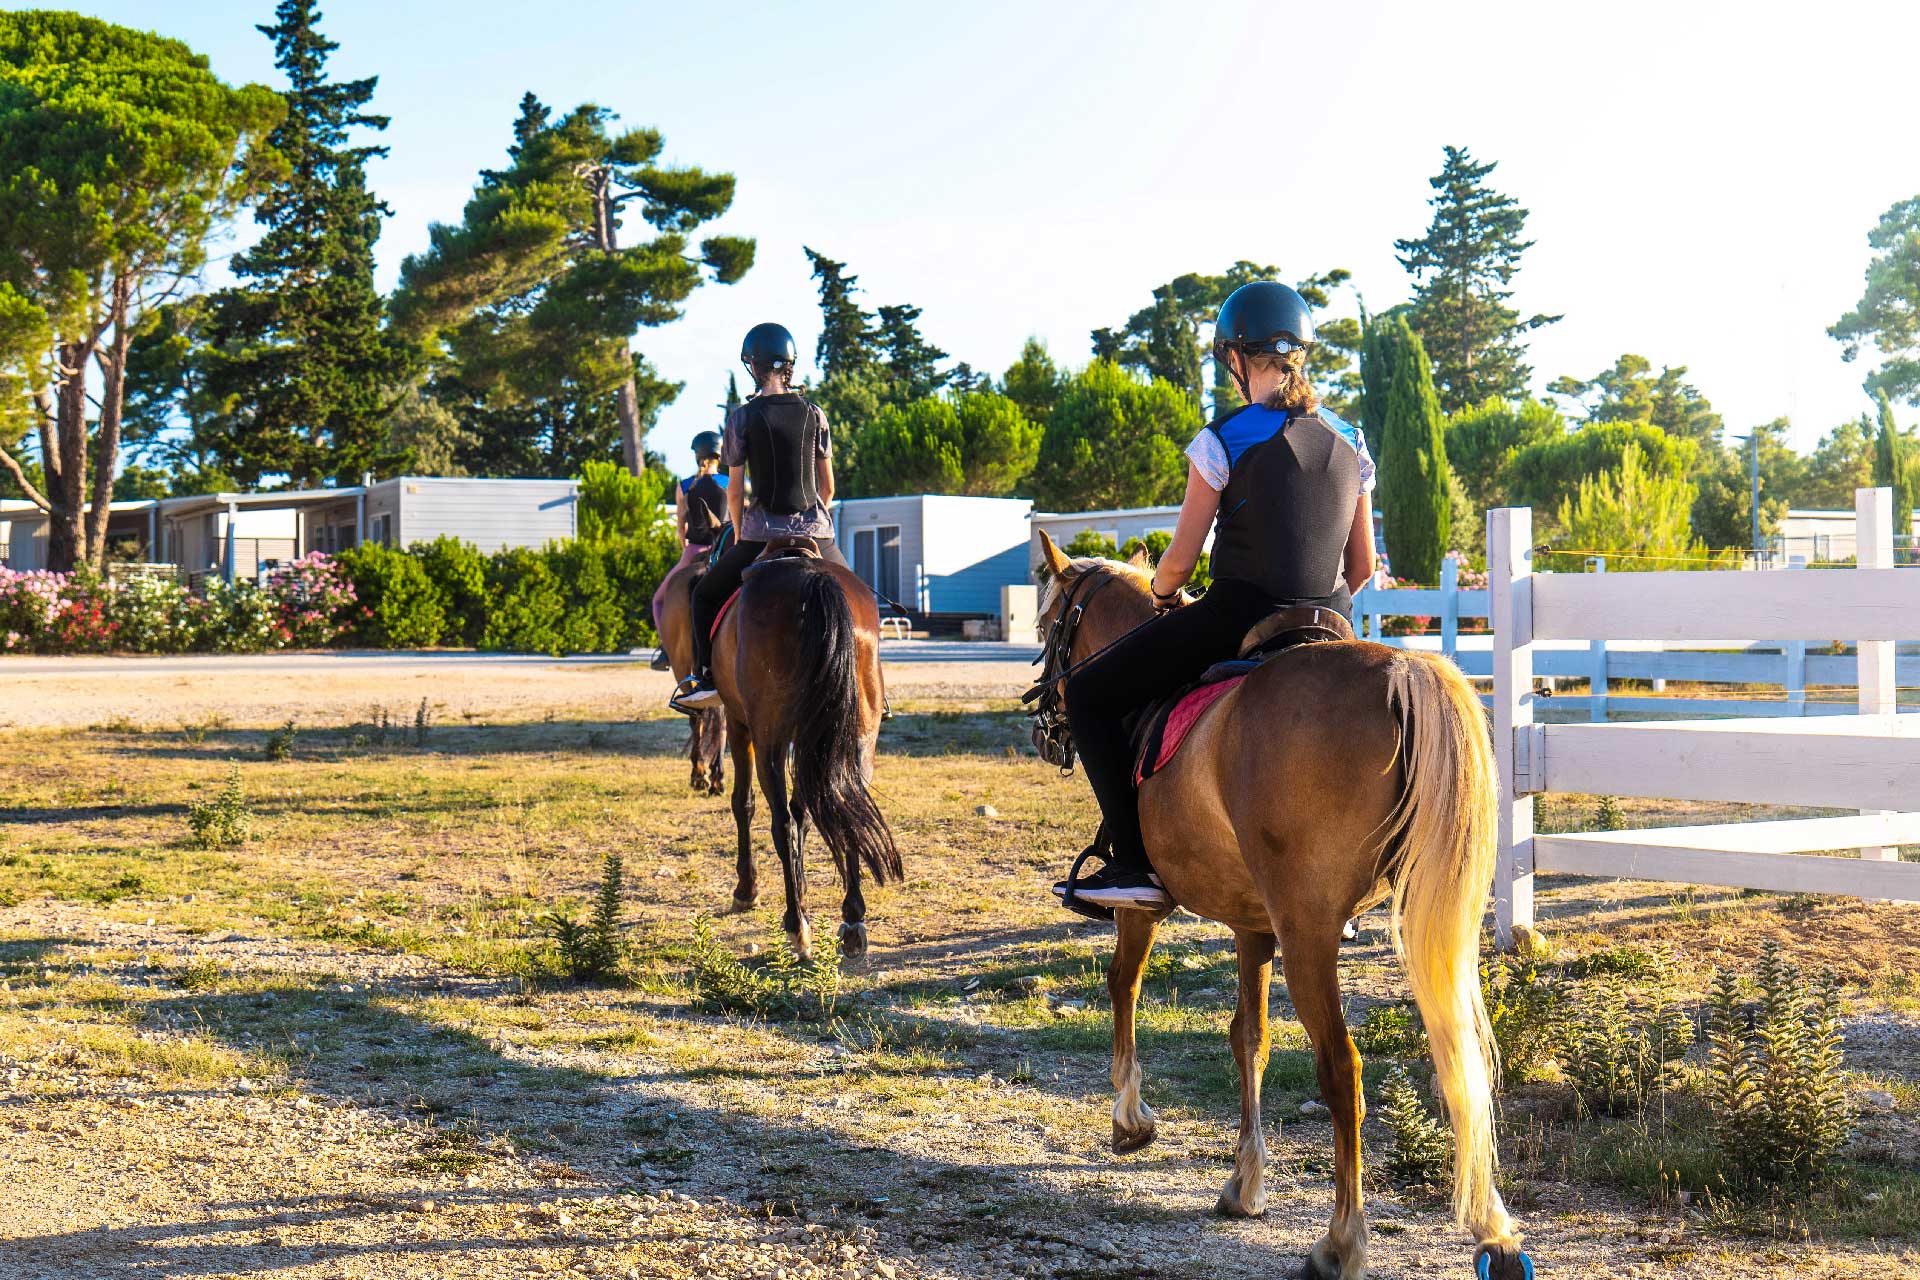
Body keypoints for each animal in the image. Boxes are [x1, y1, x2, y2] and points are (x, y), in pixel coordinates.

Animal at [710, 544, 901, 959]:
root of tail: (813, 579)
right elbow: (807, 813)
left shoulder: (739, 723)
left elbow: (745, 803)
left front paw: (747, 890)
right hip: (858, 736)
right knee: (846, 808)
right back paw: (852, 921)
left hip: (768, 736)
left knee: (780, 821)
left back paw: (797, 926)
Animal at [1032, 530, 1529, 1280]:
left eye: (1047, 626)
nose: (1044, 720)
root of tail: (1400, 670)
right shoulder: (1251, 924)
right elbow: (1250, 1038)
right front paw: (1244, 1182)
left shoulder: (1144, 906)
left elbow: (1124, 985)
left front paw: (1131, 1118)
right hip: (1417, 922)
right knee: (1462, 1051)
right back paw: (1492, 1229)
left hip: (1309, 933)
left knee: (1342, 1069)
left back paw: (1342, 1240)